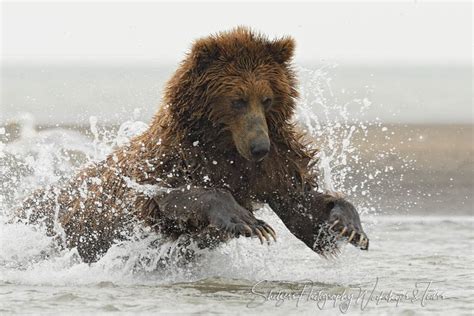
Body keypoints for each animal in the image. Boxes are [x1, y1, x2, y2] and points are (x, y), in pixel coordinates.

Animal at [16, 27, 368, 264]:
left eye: (267, 98)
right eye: (238, 100)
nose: (259, 147)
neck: (223, 146)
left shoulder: (272, 166)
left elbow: (301, 206)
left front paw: (347, 224)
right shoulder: (173, 161)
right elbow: (166, 198)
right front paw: (248, 221)